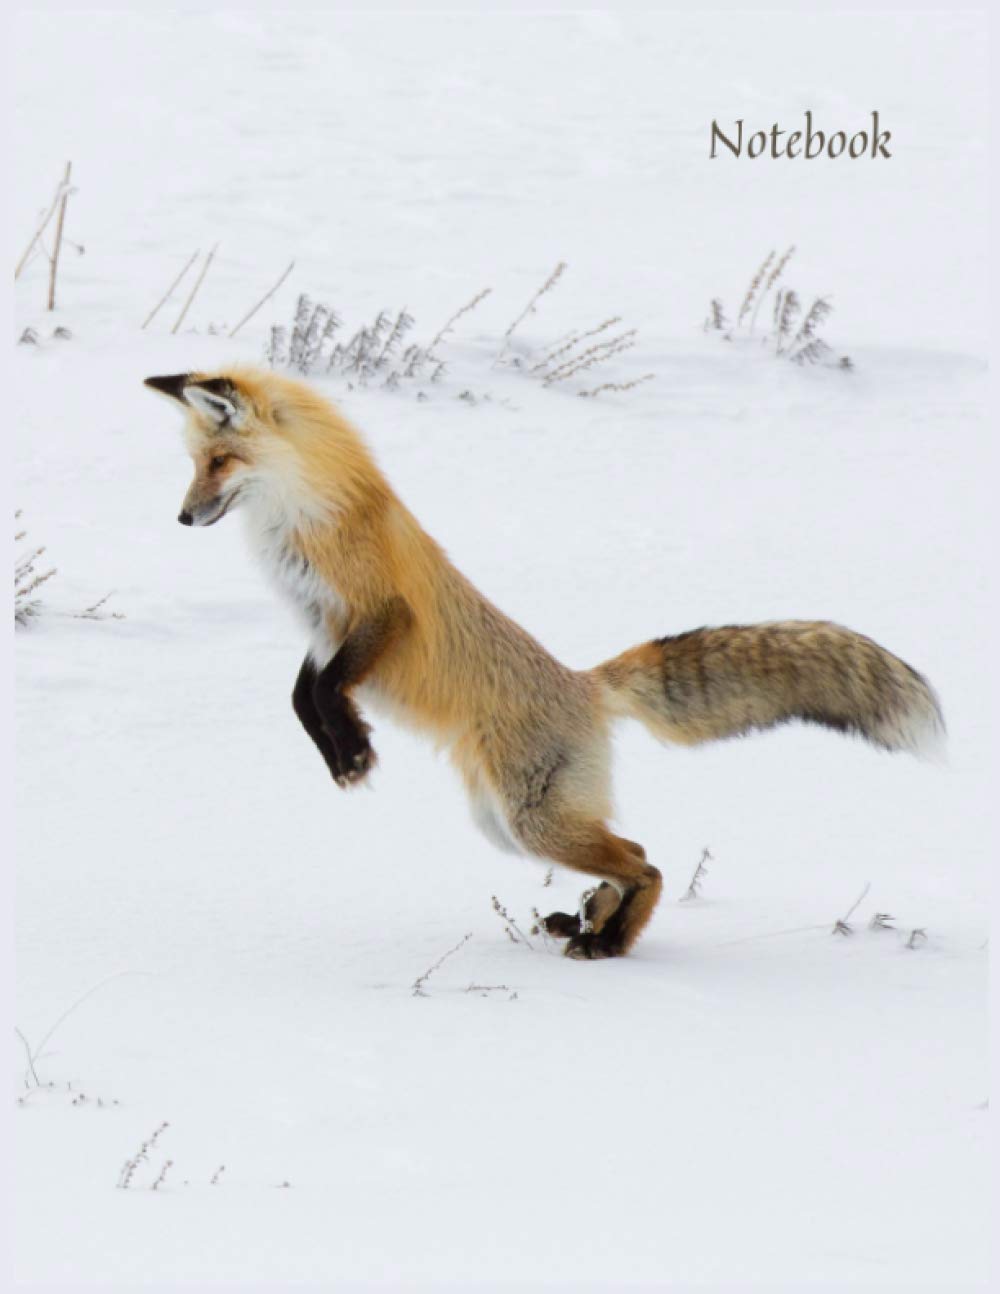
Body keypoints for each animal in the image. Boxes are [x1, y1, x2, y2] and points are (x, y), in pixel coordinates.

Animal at [145, 366, 944, 959]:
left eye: (219, 462)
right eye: (194, 464)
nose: (181, 517)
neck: (303, 519)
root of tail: (585, 685)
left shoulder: (379, 614)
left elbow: (328, 691)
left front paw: (353, 751)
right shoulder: (319, 629)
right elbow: (302, 697)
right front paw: (344, 751)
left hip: (531, 821)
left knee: (648, 862)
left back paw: (608, 940)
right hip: (506, 823)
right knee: (634, 849)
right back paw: (590, 920)